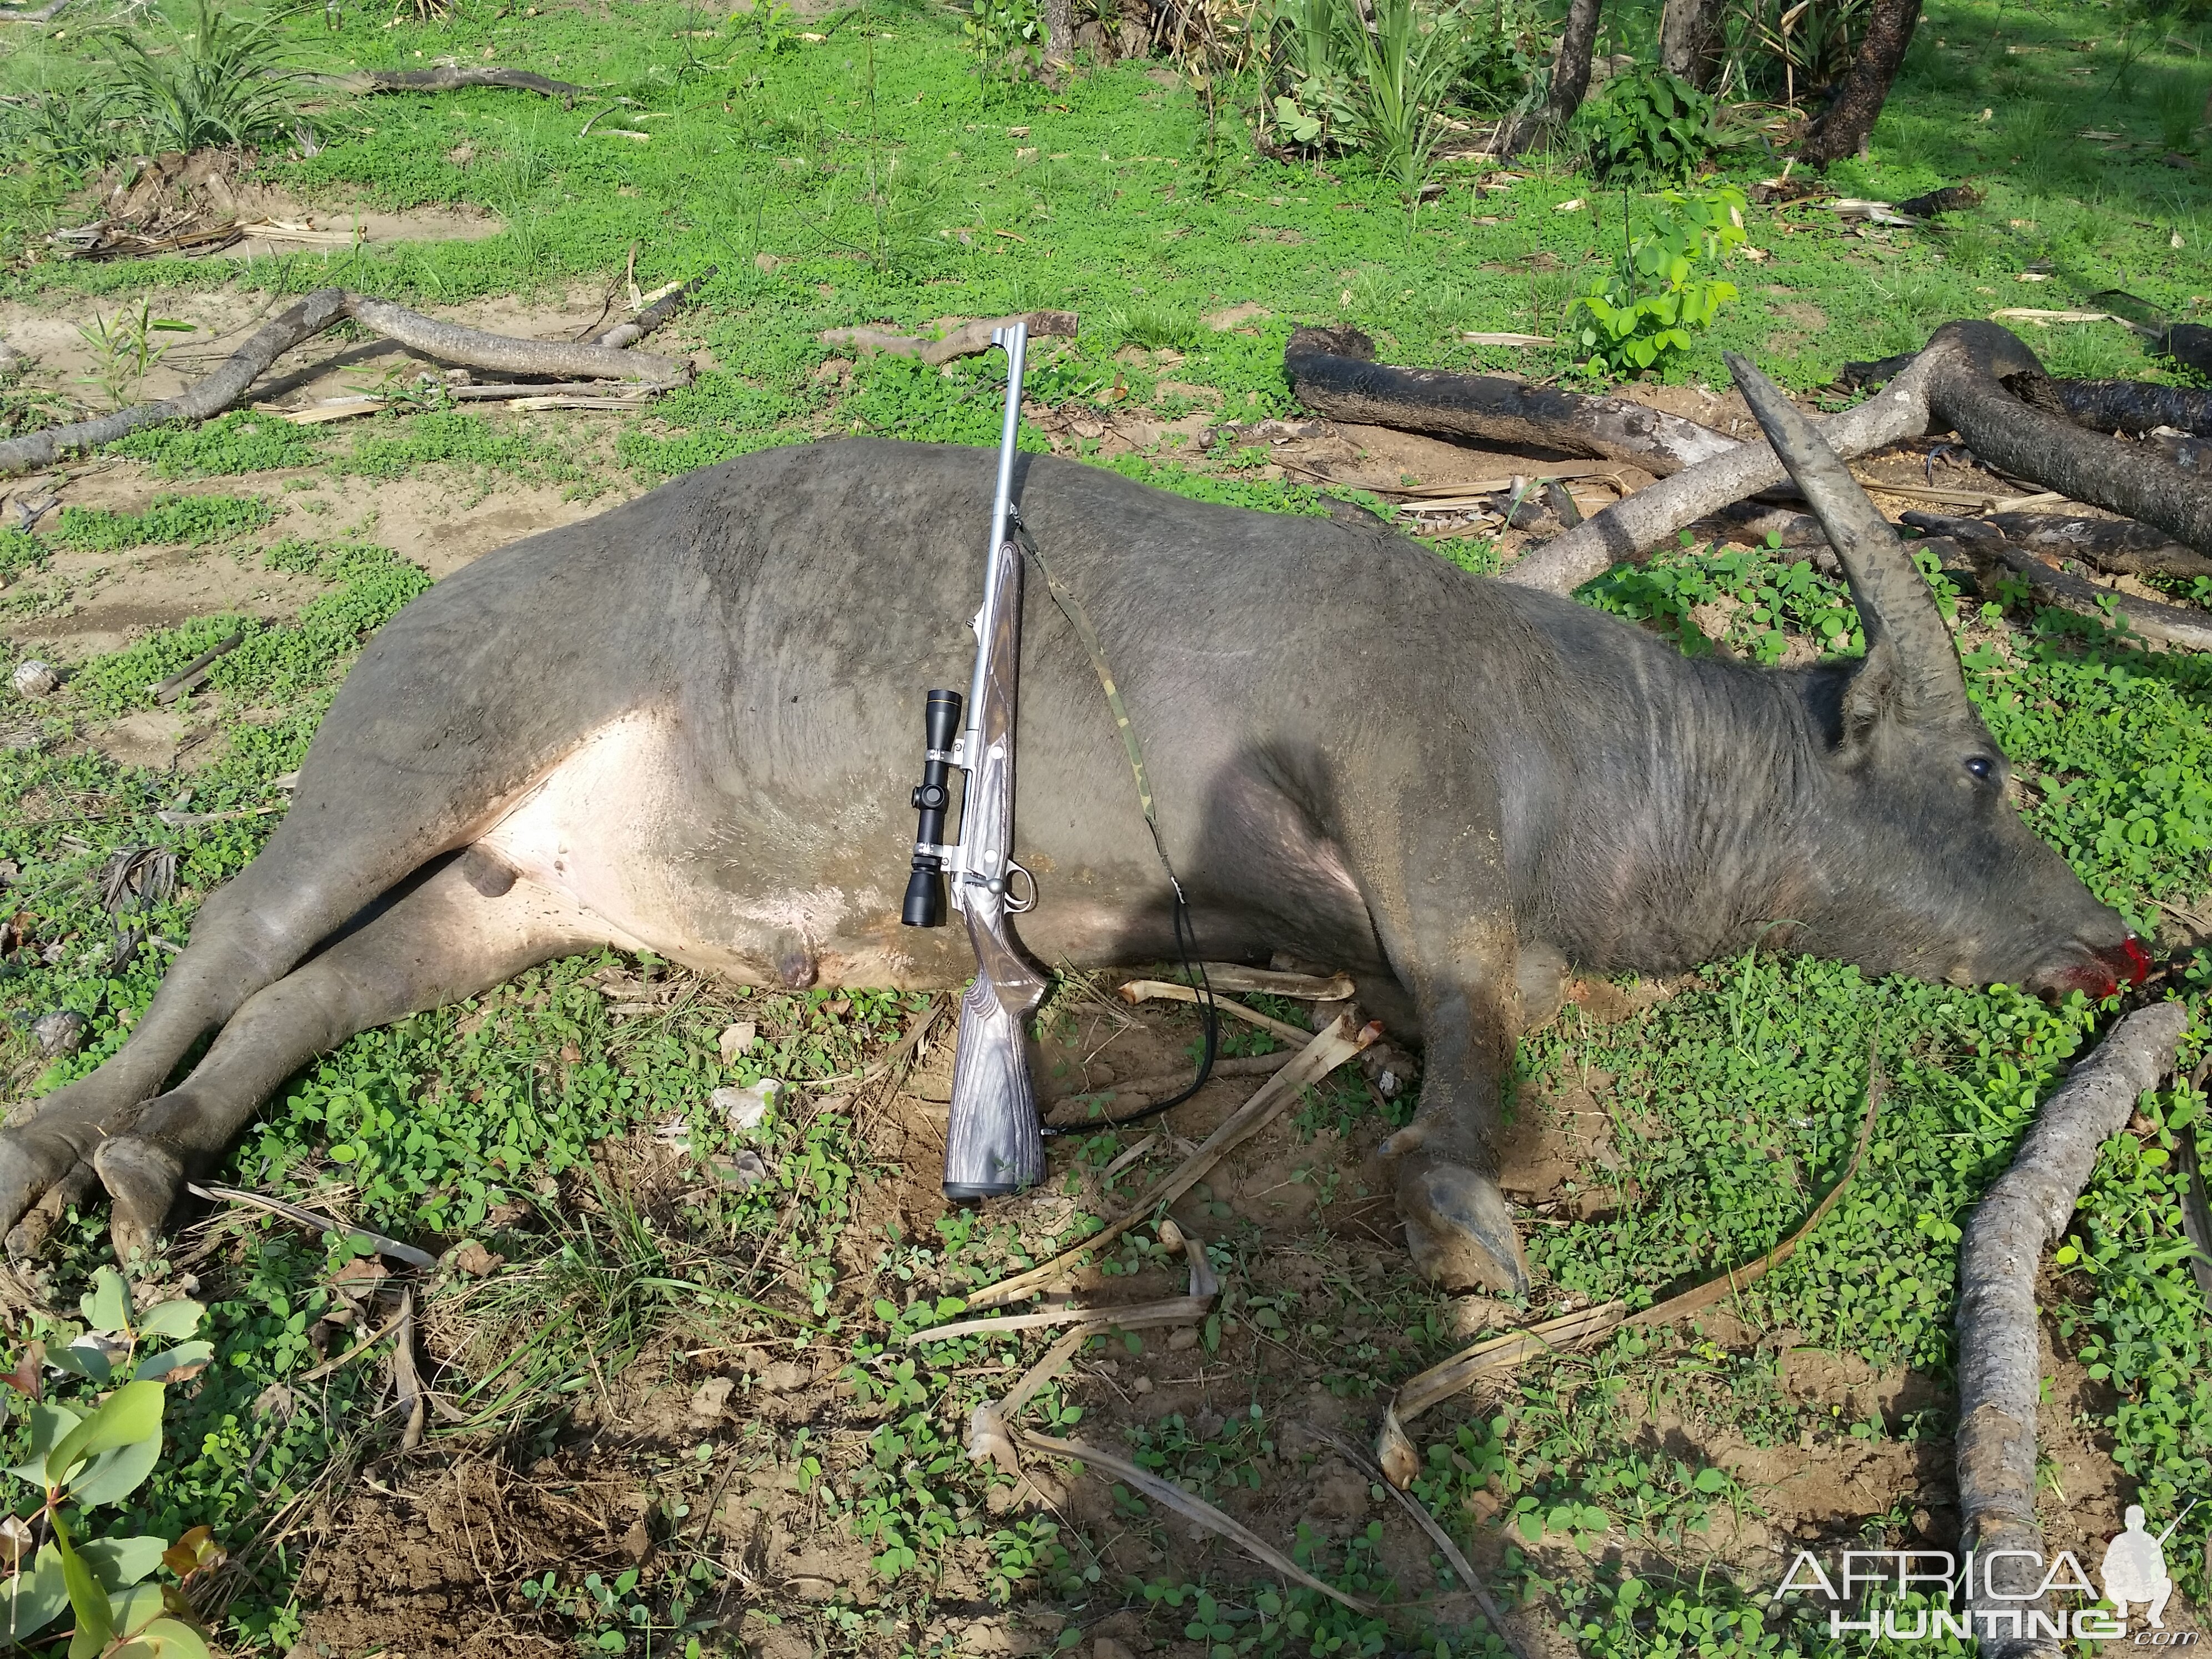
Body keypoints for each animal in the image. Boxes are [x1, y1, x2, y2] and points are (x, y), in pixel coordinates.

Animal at [0, 363, 2141, 1300]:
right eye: (1979, 774)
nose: (2129, 939)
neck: (1593, 741)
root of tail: (449, 597)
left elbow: (1433, 980)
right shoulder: (1410, 793)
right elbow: (1479, 998)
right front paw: (1456, 1193)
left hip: (511, 901)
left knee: (328, 989)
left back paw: (158, 1161)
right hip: (415, 748)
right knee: (236, 930)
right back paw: (57, 1140)